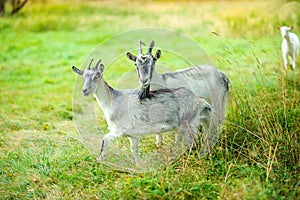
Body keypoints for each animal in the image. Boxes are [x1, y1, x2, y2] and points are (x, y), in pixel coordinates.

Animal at [72, 58, 213, 164]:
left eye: (97, 76)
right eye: (83, 77)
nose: (85, 91)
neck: (113, 101)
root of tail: (198, 100)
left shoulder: (118, 130)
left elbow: (104, 139)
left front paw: (99, 161)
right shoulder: (133, 135)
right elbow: (134, 152)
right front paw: (138, 167)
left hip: (189, 124)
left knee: (194, 143)